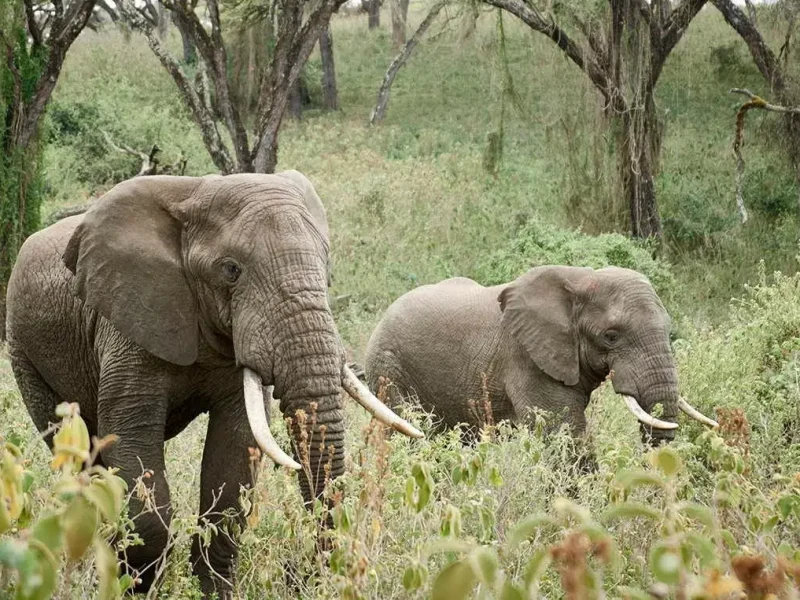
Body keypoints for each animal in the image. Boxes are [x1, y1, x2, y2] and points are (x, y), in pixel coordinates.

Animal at [5, 170, 421, 598]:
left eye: (327, 270)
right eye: (231, 270)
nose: (297, 574)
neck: (197, 192)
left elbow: (235, 451)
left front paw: (211, 590)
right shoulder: (127, 321)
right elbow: (131, 440)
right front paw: (138, 586)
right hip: (24, 350)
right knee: (74, 450)